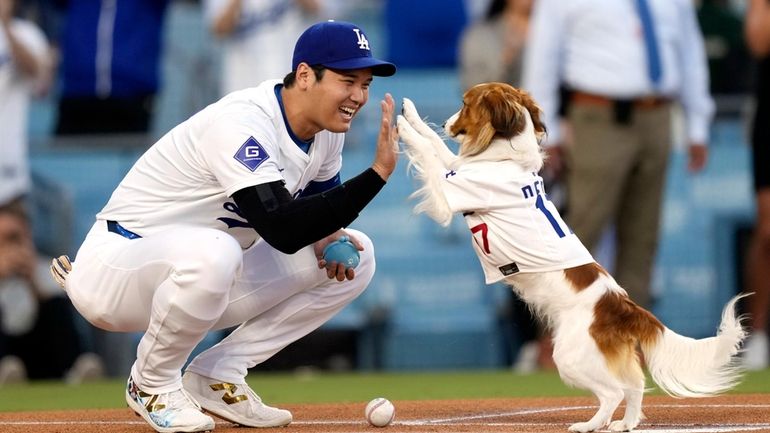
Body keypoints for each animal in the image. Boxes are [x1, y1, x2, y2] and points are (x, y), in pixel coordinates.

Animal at [396, 82, 744, 432]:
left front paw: (402, 127)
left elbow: (428, 153)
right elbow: (435, 146)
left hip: (570, 357)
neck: (507, 158)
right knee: (634, 386)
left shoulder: (448, 197)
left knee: (613, 392)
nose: (447, 123)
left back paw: (589, 424)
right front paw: (411, 115)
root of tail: (622, 305)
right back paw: (625, 423)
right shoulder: (458, 169)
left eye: (465, 103)